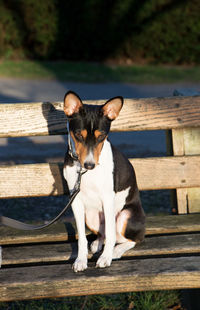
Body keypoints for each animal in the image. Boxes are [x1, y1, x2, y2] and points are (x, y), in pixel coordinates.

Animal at [63, 90, 146, 272]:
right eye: (78, 135)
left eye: (101, 136)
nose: (89, 164)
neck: (85, 172)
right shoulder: (75, 200)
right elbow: (81, 238)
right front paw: (81, 260)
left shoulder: (108, 198)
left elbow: (110, 232)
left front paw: (105, 258)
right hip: (91, 215)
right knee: (104, 233)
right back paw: (97, 243)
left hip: (124, 216)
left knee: (129, 238)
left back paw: (115, 251)